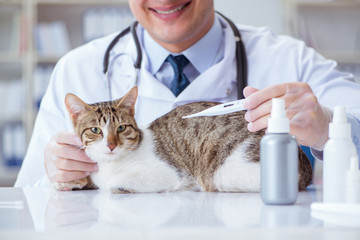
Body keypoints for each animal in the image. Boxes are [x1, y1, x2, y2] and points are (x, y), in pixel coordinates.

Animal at [53, 86, 312, 193]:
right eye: (95, 130)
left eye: (122, 128)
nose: (110, 145)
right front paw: (69, 182)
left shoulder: (167, 172)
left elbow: (114, 183)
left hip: (221, 172)